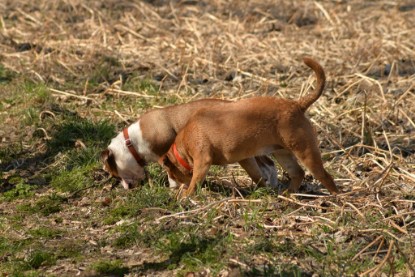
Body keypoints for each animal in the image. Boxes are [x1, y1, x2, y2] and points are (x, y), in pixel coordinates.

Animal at [161, 57, 340, 197]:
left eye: (170, 171)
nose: (171, 187)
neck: (183, 146)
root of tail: (297, 105)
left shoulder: (202, 160)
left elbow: (195, 181)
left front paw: (185, 196)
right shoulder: (246, 159)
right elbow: (257, 176)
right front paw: (264, 191)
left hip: (306, 152)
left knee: (326, 177)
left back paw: (337, 199)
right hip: (283, 153)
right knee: (298, 173)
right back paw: (288, 194)